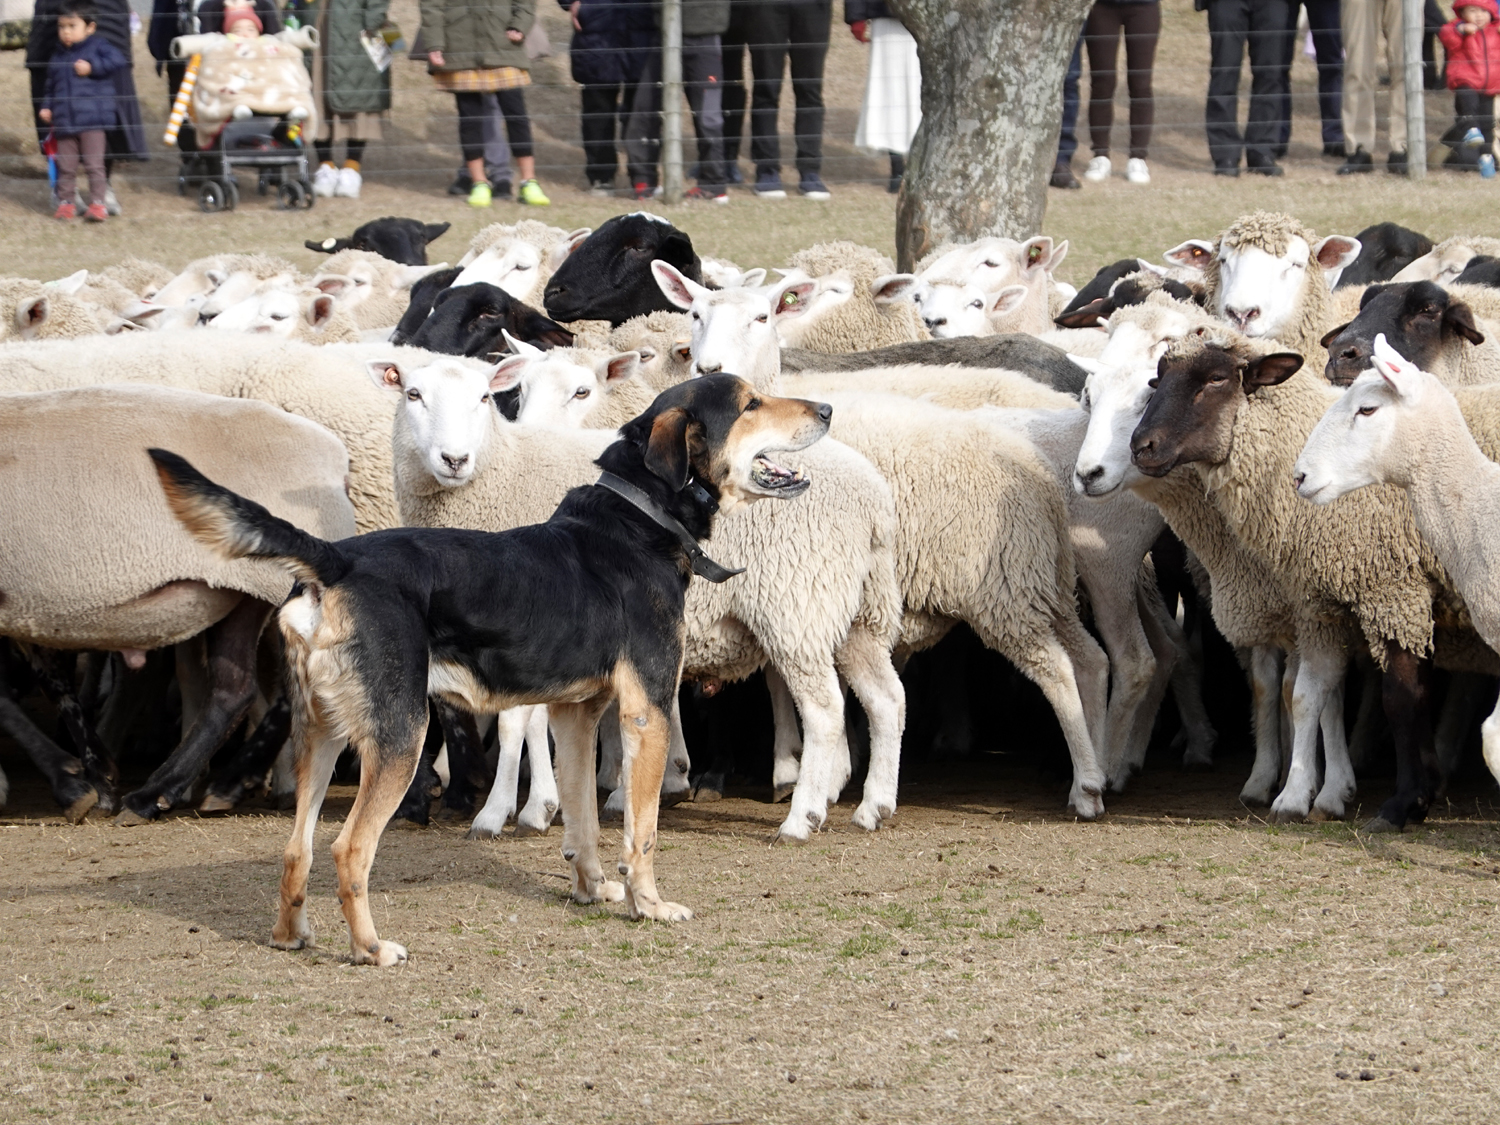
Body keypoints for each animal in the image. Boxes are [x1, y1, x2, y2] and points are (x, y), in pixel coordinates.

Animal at [149, 379, 834, 972]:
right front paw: (650, 904)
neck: (639, 522)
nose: (827, 408)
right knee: (349, 851)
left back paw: (291, 935)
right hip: (400, 736)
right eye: (750, 403)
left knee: (299, 848)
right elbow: (642, 832)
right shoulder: (649, 710)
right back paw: (371, 949)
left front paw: (593, 890)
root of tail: (336, 560)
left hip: (321, 734)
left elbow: (584, 820)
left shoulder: (576, 716)